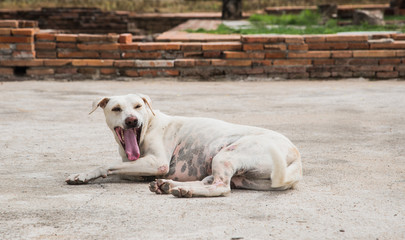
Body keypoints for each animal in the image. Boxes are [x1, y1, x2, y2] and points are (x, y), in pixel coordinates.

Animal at [65, 93, 300, 197]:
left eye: (138, 106)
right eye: (116, 109)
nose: (132, 121)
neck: (148, 126)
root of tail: (295, 157)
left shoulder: (156, 163)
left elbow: (106, 165)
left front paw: (84, 174)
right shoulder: (136, 167)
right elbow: (117, 167)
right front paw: (82, 175)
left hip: (227, 155)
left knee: (221, 187)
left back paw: (182, 189)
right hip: (238, 173)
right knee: (212, 181)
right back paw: (169, 185)